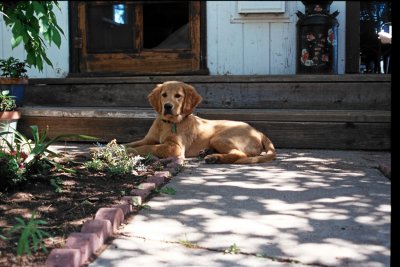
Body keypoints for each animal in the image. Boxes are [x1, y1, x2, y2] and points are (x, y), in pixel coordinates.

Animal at [125, 81, 276, 164]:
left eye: (178, 96)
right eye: (164, 95)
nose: (167, 106)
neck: (167, 123)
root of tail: (259, 132)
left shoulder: (175, 148)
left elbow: (150, 147)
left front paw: (131, 151)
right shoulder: (148, 138)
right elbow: (133, 143)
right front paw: (120, 147)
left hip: (220, 137)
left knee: (240, 154)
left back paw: (215, 158)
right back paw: (206, 152)